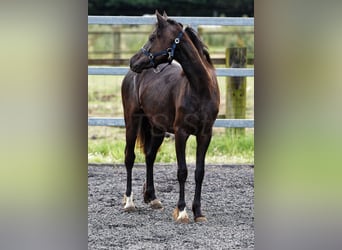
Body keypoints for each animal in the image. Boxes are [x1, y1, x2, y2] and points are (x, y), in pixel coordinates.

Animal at [121, 10, 220, 224]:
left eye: (152, 37)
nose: (133, 61)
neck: (200, 88)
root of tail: (131, 75)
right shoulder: (181, 133)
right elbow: (182, 172)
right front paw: (182, 211)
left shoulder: (205, 134)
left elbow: (199, 172)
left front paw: (198, 212)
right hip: (132, 121)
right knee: (129, 157)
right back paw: (129, 202)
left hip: (157, 128)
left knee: (150, 156)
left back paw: (153, 198)